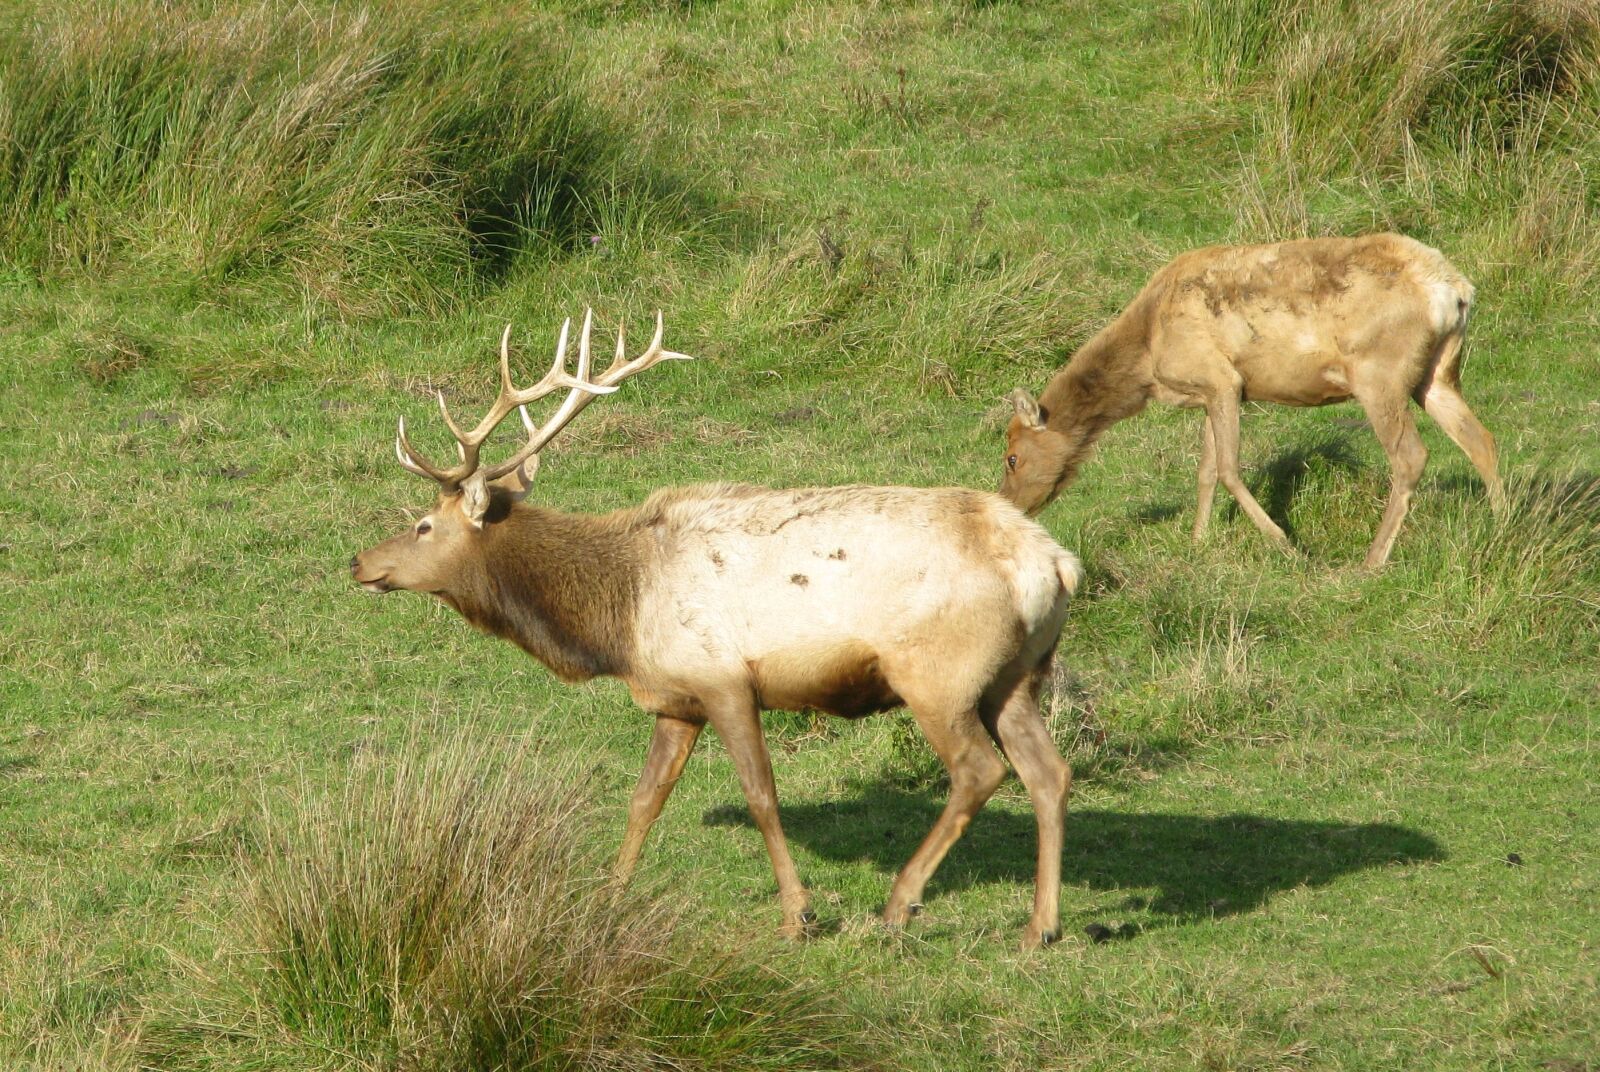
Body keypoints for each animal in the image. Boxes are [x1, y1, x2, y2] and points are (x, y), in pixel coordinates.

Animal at [351, 310, 1086, 949]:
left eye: (423, 524)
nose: (359, 562)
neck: (618, 616)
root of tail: (1055, 562)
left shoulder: (723, 679)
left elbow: (761, 796)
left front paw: (798, 915)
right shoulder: (676, 698)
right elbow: (644, 799)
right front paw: (609, 895)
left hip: (937, 675)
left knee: (979, 771)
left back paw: (899, 905)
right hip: (1017, 673)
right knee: (1049, 772)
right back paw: (1040, 926)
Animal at [1000, 233, 1506, 569]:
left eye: (1011, 456)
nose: (1009, 505)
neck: (1147, 354)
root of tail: (1456, 290)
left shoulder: (1220, 378)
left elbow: (1227, 468)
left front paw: (1284, 542)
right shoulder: (1212, 391)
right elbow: (1205, 471)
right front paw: (1199, 543)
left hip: (1378, 372)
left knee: (1411, 456)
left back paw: (1372, 560)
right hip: (1437, 373)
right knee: (1481, 438)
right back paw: (1501, 525)